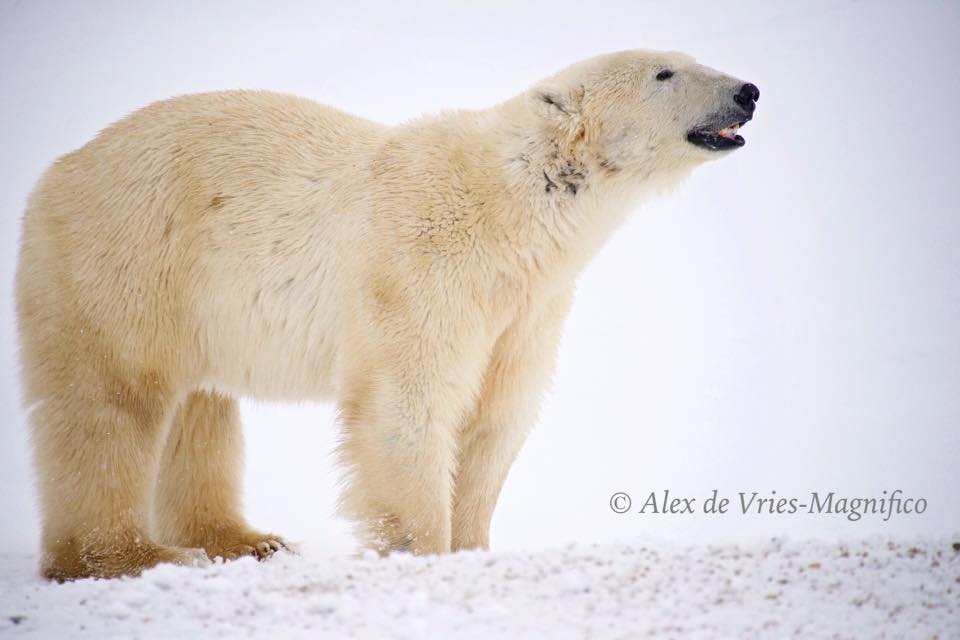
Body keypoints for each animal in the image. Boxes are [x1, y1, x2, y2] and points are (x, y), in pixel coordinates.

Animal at [16, 49, 758, 580]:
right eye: (665, 71)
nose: (748, 91)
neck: (514, 205)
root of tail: (55, 173)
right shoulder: (423, 263)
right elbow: (411, 402)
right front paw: (419, 550)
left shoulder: (527, 308)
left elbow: (497, 414)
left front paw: (474, 546)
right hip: (132, 255)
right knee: (112, 402)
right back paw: (132, 556)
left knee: (200, 409)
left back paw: (246, 541)